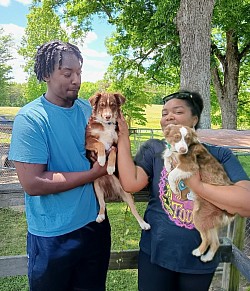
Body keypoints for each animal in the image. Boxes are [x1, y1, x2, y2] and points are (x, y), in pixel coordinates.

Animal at [86, 92, 150, 232]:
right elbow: (99, 143)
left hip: (126, 193)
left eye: (113, 105)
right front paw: (101, 159)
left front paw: (110, 167)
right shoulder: (88, 140)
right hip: (97, 187)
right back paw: (100, 216)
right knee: (102, 204)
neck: (107, 125)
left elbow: (113, 151)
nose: (108, 116)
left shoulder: (116, 144)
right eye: (101, 105)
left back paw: (143, 224)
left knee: (133, 210)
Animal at [162, 124, 234, 264]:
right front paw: (167, 165)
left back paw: (198, 252)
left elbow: (172, 175)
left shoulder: (189, 166)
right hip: (209, 221)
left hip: (199, 217)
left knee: (207, 239)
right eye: (176, 137)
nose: (183, 149)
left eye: (187, 139)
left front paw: (174, 188)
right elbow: (167, 158)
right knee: (215, 242)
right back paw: (207, 257)